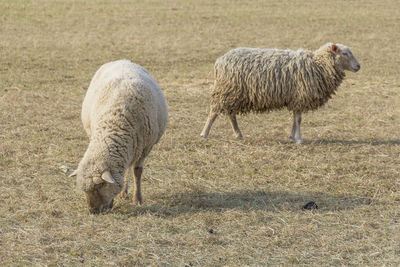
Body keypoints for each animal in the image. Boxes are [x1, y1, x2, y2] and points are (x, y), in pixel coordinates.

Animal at [70, 59, 167, 215]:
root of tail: (122, 60)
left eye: (100, 186)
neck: (115, 123)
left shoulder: (145, 147)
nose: (93, 211)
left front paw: (138, 199)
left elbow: (137, 172)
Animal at [202, 43, 360, 144]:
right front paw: (299, 139)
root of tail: (220, 61)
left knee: (231, 114)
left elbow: (295, 119)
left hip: (234, 94)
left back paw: (238, 134)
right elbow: (298, 120)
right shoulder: (300, 96)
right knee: (214, 112)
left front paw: (292, 136)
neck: (318, 65)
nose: (358, 66)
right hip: (226, 91)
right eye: (344, 53)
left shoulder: (295, 99)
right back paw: (204, 133)